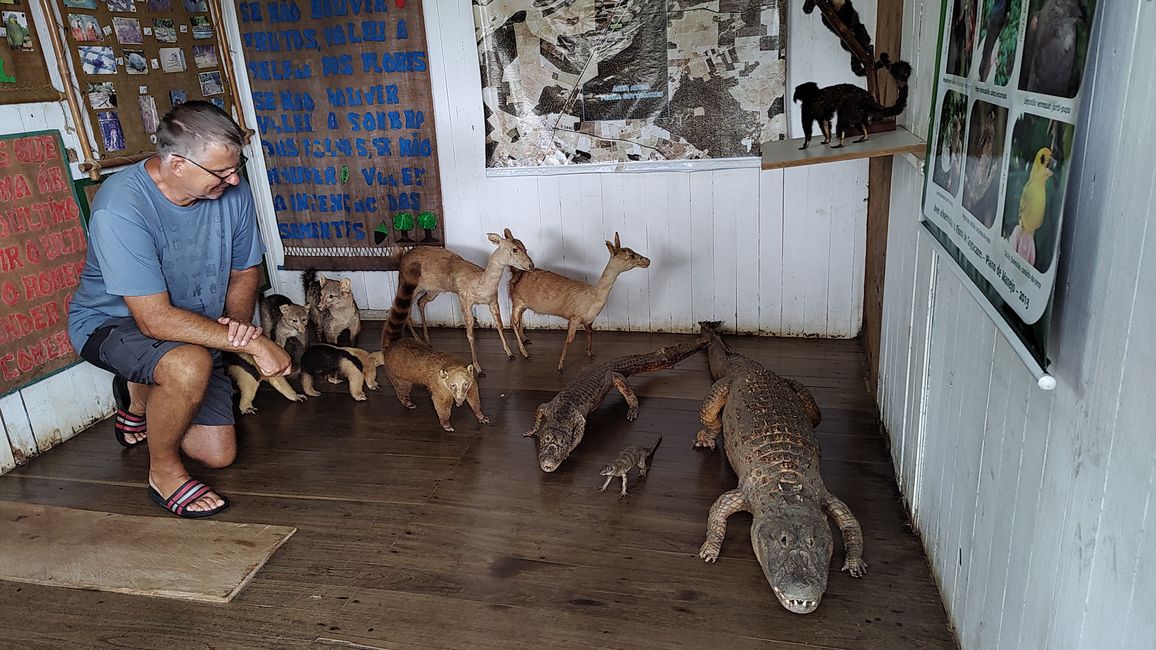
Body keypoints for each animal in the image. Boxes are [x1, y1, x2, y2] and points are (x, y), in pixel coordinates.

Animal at [397, 227, 531, 372]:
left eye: (525, 247)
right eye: (514, 249)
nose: (531, 265)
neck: (479, 284)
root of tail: (403, 258)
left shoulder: (493, 301)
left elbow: (499, 324)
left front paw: (513, 354)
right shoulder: (465, 301)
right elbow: (470, 334)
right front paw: (478, 368)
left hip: (433, 291)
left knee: (420, 302)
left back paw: (427, 341)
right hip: (408, 286)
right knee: (406, 311)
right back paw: (418, 340)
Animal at [513, 232, 651, 370]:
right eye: (630, 255)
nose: (647, 260)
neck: (594, 298)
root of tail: (515, 275)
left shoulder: (589, 320)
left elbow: (589, 333)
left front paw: (590, 354)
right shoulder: (575, 317)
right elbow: (569, 340)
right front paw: (560, 366)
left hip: (522, 305)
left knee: (518, 320)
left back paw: (525, 342)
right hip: (517, 301)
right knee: (513, 322)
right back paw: (524, 353)